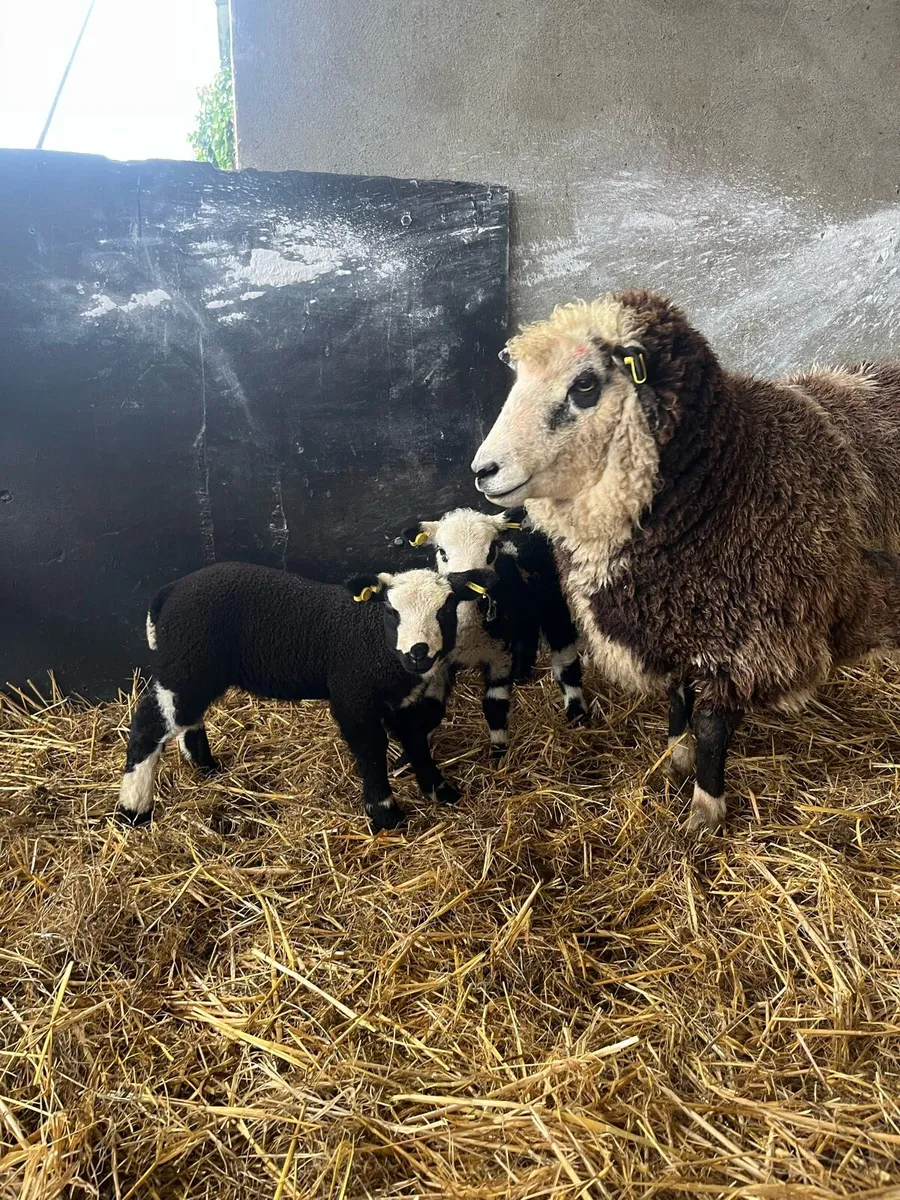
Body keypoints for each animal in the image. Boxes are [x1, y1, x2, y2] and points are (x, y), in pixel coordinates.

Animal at [117, 561, 498, 832]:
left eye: (445, 610)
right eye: (391, 612)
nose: (418, 653)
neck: (374, 639)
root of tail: (170, 590)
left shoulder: (401, 702)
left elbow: (417, 741)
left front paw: (441, 791)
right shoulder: (352, 695)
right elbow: (371, 750)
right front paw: (386, 814)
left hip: (195, 669)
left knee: (187, 716)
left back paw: (205, 766)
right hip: (186, 662)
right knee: (149, 724)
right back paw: (133, 810)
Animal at [403, 506, 587, 724]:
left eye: (491, 549)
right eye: (442, 552)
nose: (470, 582)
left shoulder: (500, 656)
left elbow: (495, 706)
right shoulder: (440, 662)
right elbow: (430, 710)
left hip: (552, 595)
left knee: (564, 653)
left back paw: (576, 710)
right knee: (528, 630)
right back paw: (521, 673)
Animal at [471, 288, 900, 832]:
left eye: (585, 384)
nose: (483, 470)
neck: (726, 477)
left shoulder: (744, 641)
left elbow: (712, 725)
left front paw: (704, 809)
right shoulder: (672, 619)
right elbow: (677, 697)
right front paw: (675, 756)